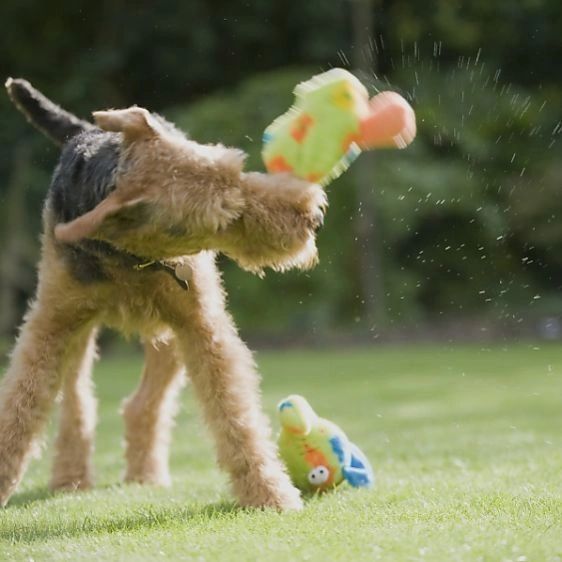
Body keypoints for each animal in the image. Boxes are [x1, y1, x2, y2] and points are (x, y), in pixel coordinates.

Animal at [0, 79, 326, 508]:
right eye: (226, 217)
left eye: (236, 170)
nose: (313, 214)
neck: (131, 257)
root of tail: (87, 132)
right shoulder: (49, 326)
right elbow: (19, 407)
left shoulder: (202, 325)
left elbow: (235, 414)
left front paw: (269, 493)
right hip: (78, 329)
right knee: (78, 402)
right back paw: (72, 476)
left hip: (171, 333)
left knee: (142, 404)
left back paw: (145, 474)